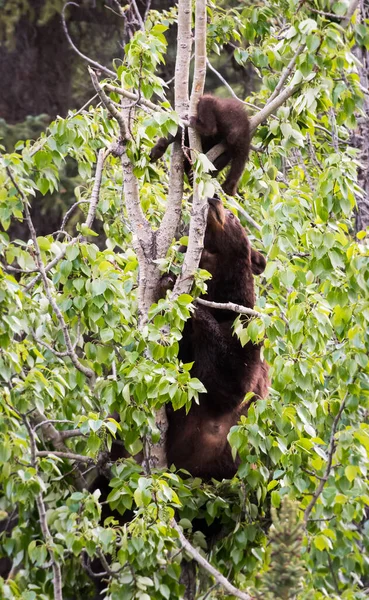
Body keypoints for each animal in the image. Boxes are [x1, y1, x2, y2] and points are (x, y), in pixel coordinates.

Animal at [165, 199, 268, 480]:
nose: (213, 200)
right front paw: (167, 279)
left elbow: (230, 381)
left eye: (233, 216)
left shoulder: (247, 330)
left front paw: (194, 305)